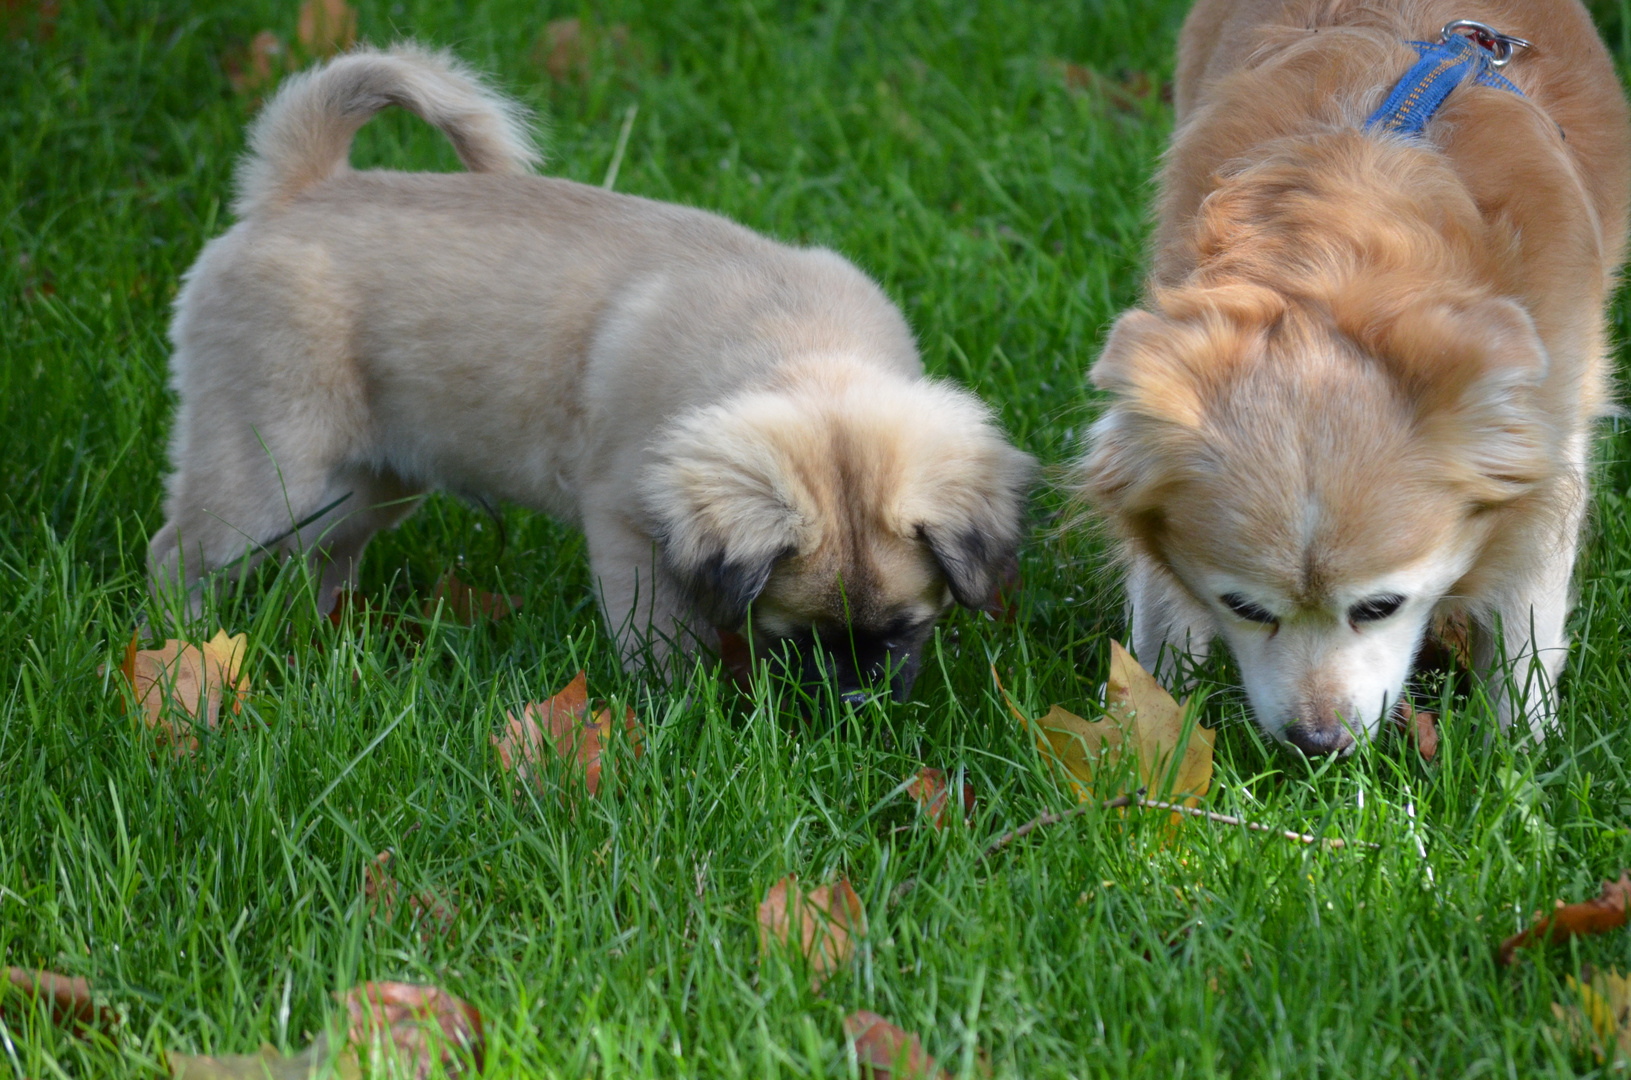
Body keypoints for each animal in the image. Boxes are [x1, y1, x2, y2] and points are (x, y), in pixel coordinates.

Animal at [153, 44, 1030, 701]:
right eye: (794, 633)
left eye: (908, 629)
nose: (854, 705)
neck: (802, 353)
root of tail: (299, 191)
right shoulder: (628, 534)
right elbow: (662, 643)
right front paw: (679, 715)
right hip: (268, 474)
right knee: (180, 554)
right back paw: (179, 655)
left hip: (367, 482)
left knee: (324, 556)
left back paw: (326, 635)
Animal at [1076, 0, 1624, 756]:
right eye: (1243, 607)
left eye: (1380, 606)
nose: (1315, 741)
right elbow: (1161, 608)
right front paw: (1143, 741)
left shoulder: (1552, 430)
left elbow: (1525, 613)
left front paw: (1517, 755)